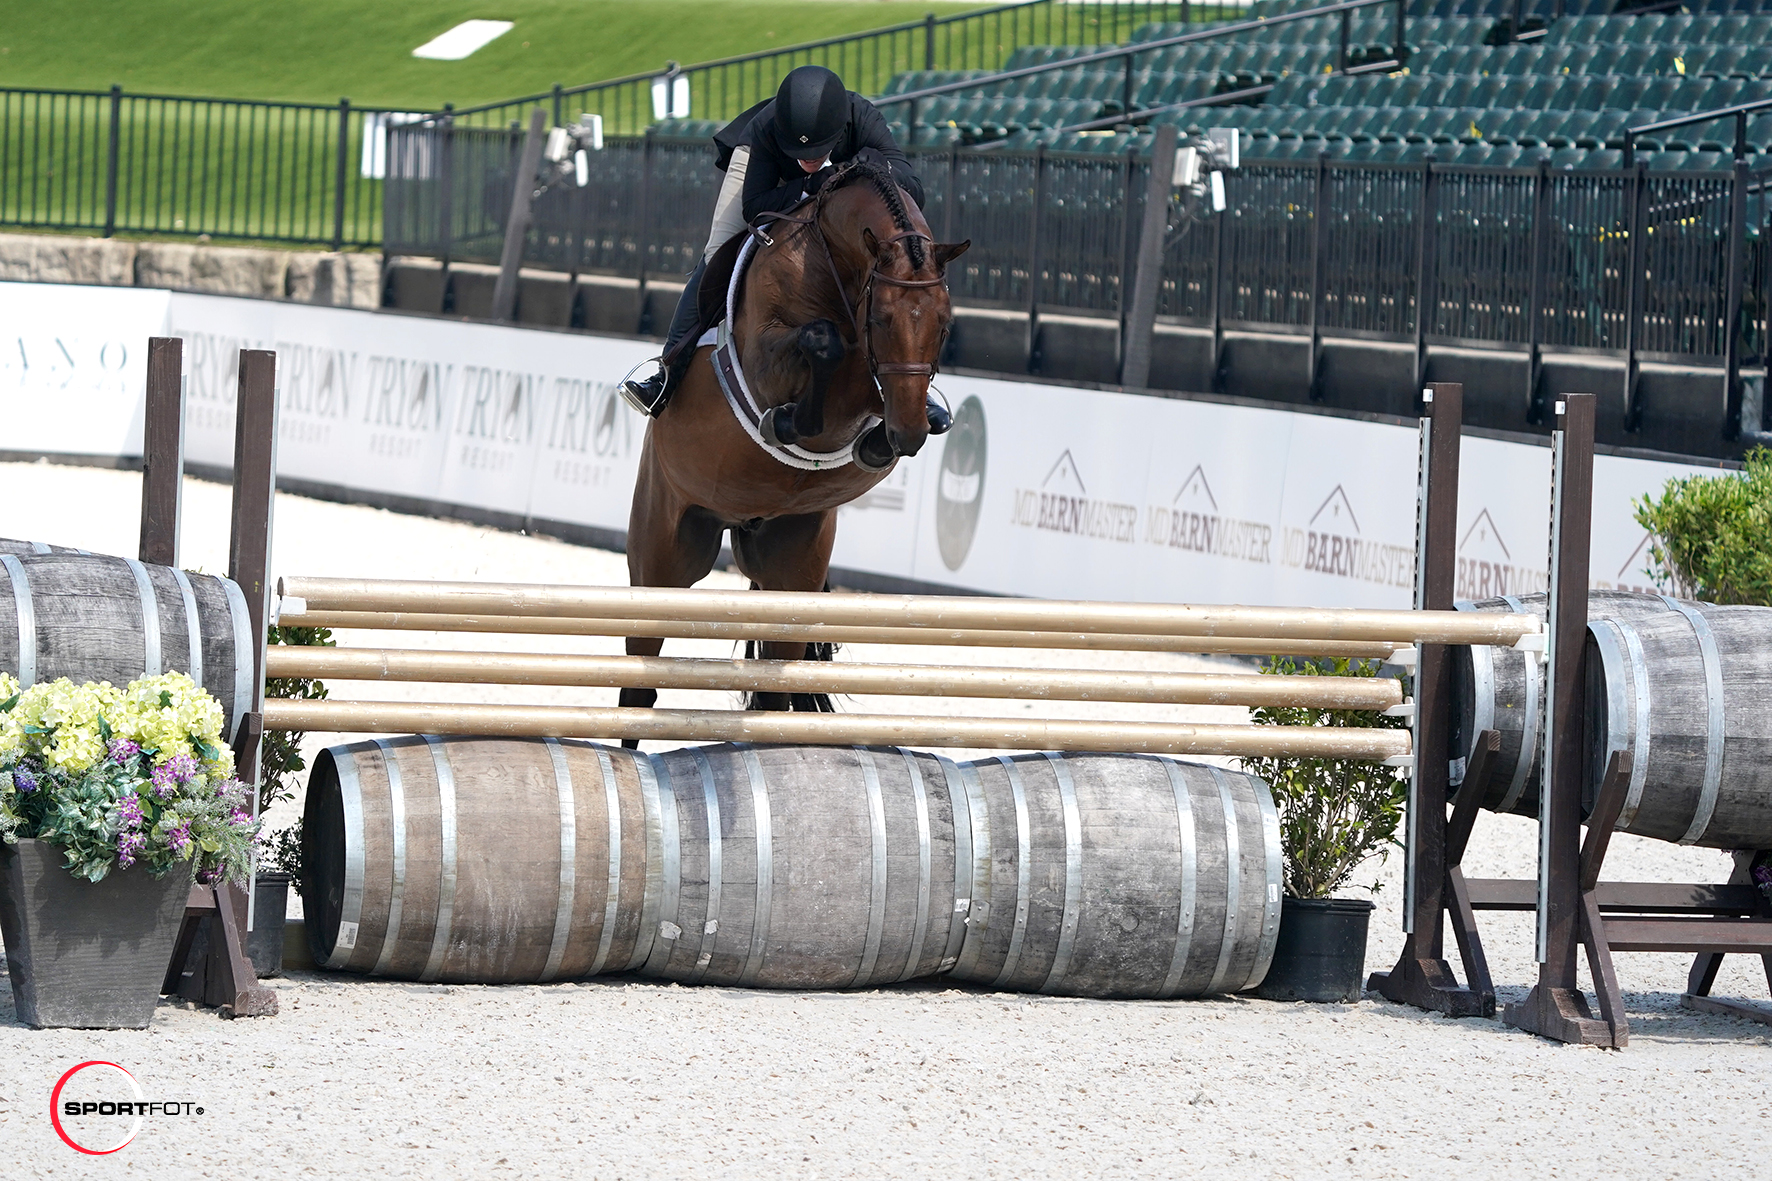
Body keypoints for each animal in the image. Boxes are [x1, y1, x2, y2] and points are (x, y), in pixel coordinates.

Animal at [620, 158, 971, 727]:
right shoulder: (767, 359)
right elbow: (822, 342)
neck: (832, 260)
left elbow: (855, 378)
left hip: (791, 573)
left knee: (772, 692)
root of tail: (742, 522)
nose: (910, 434)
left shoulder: (884, 389)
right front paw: (785, 422)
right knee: (638, 686)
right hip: (662, 560)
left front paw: (877, 443)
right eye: (881, 319)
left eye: (943, 325)